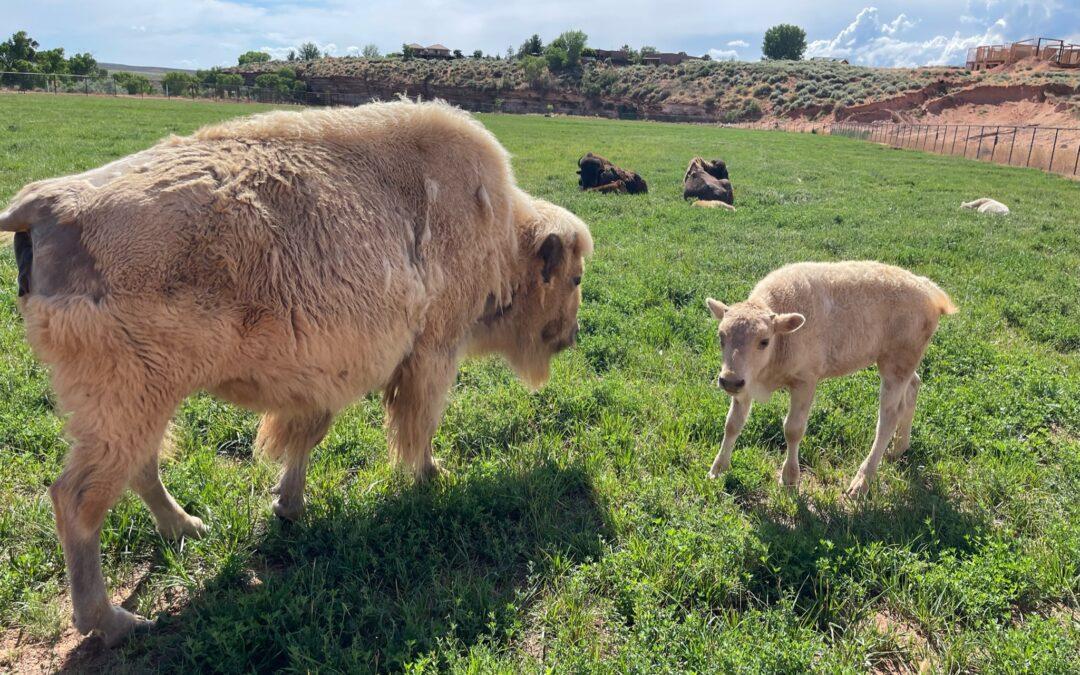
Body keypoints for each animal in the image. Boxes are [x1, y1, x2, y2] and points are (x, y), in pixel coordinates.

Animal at [0, 101, 591, 648]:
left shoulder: (321, 382)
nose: (571, 336)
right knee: (78, 500)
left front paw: (289, 507)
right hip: (126, 401)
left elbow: (305, 439)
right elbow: (418, 426)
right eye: (575, 277)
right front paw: (431, 476)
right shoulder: (432, 354)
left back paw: (188, 527)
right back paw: (115, 622)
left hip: (146, 401)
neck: (501, 233)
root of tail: (47, 203)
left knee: (141, 467)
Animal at [708, 262, 954, 494]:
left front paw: (789, 479)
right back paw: (898, 449)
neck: (782, 340)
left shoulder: (805, 382)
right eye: (721, 336)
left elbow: (793, 429)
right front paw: (717, 469)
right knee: (913, 387)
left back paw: (861, 482)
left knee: (889, 417)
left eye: (764, 341)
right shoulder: (745, 383)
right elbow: (733, 423)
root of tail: (927, 288)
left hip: (896, 367)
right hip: (900, 364)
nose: (729, 381)